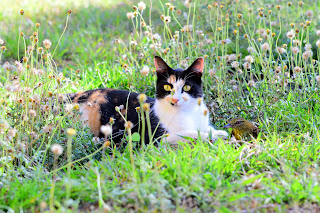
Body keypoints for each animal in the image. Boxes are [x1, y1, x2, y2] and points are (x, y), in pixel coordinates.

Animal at [66, 55, 229, 146]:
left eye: (187, 87)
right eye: (167, 86)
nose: (175, 99)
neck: (188, 113)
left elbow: (205, 128)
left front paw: (218, 132)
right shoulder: (156, 137)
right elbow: (190, 133)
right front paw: (214, 136)